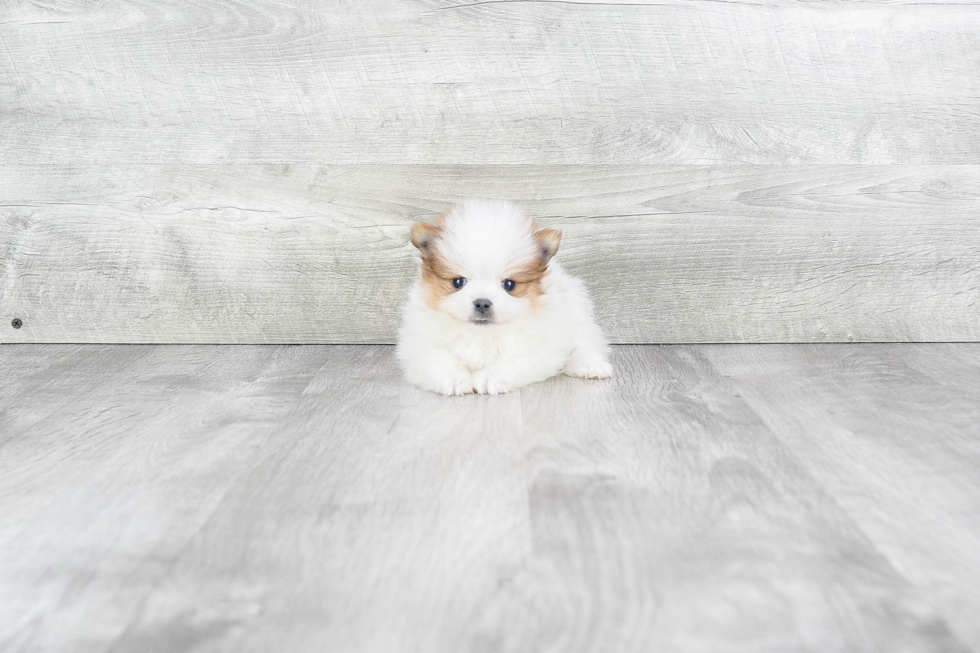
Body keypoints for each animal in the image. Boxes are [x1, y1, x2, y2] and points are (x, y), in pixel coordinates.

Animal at [394, 196, 608, 394]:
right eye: (458, 282)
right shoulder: (419, 342)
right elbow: (438, 359)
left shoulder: (539, 346)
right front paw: (454, 378)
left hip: (576, 314)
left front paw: (491, 377)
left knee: (584, 343)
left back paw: (590, 365)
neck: (481, 335)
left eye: (509, 284)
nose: (482, 303)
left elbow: (514, 361)